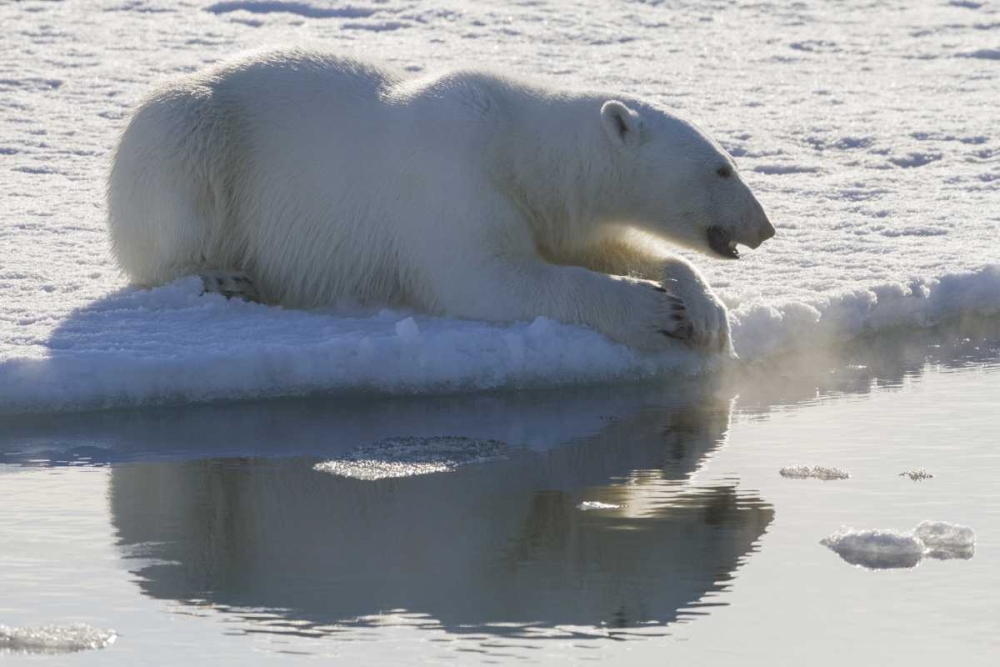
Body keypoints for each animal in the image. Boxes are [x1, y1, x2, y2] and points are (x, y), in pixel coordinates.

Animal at [107, 48, 775, 355]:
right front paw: (655, 312)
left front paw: (706, 311)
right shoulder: (453, 180)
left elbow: (598, 246)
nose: (766, 227)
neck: (519, 144)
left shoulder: (552, 208)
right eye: (723, 167)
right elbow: (487, 278)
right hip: (192, 137)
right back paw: (218, 275)